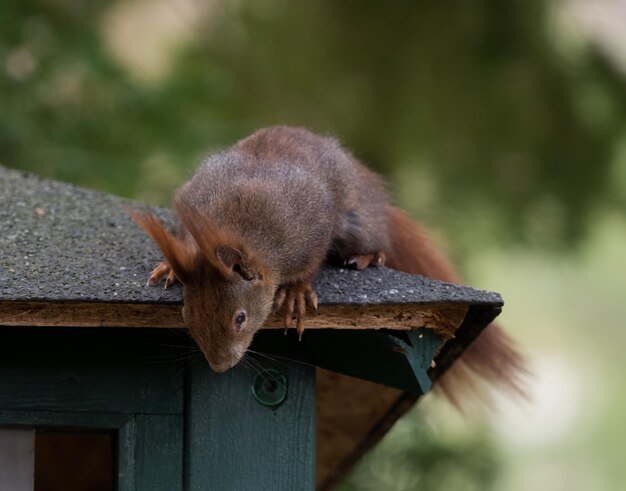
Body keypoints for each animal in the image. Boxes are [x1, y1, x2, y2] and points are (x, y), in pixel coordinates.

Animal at [132, 125, 528, 402]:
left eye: (240, 318)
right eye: (187, 316)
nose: (219, 366)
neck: (231, 226)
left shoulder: (310, 229)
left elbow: (309, 264)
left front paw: (296, 293)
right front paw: (169, 267)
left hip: (358, 221)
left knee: (375, 238)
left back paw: (369, 255)